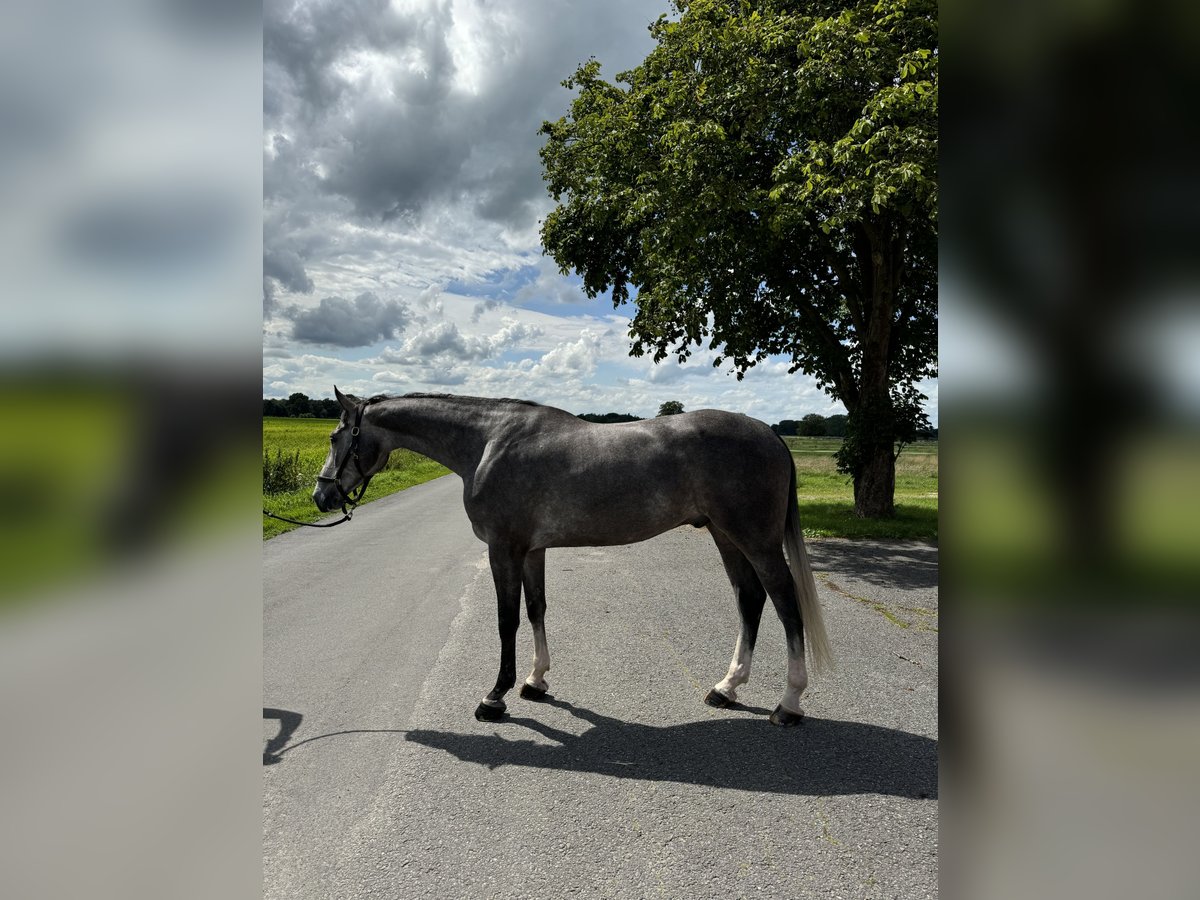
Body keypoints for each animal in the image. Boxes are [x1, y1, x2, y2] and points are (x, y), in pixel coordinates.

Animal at [314, 388, 830, 724]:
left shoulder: (503, 548)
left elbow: (506, 619)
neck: (488, 444)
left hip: (756, 540)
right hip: (725, 536)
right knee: (750, 600)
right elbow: (536, 609)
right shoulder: (532, 550)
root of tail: (770, 433)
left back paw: (788, 704)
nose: (320, 496)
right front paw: (535, 682)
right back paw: (726, 688)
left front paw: (495, 697)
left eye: (337, 438)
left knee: (785, 604)